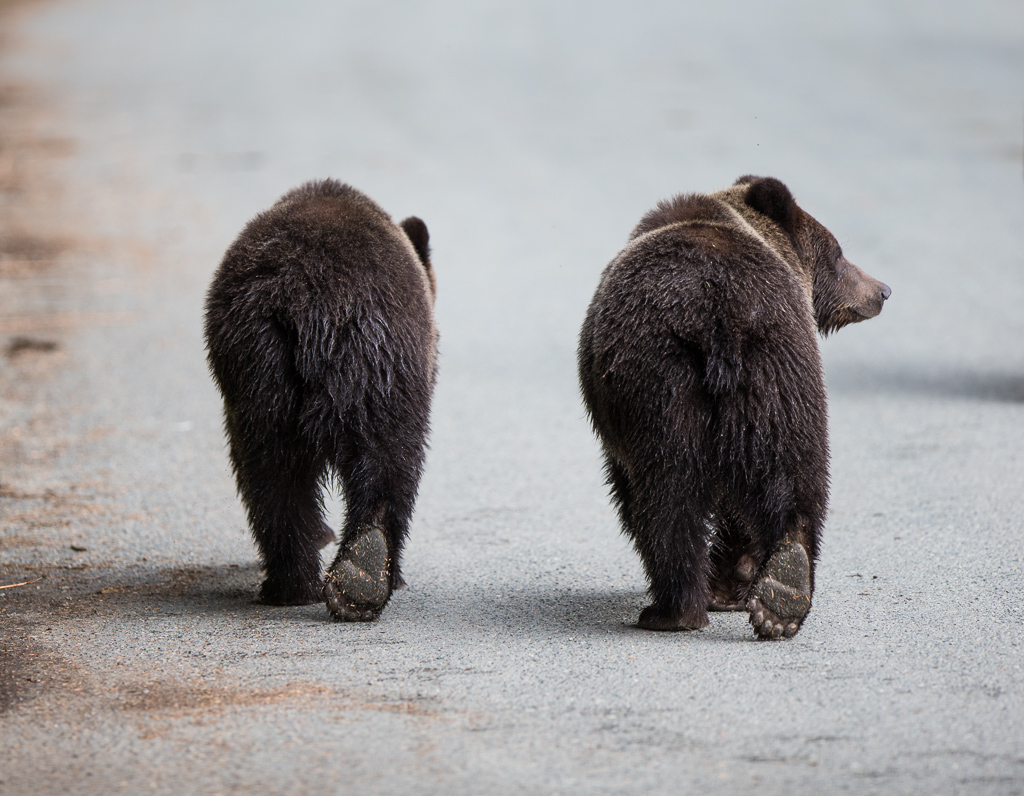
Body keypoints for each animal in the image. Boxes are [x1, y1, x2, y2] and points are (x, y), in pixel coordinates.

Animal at [204, 179, 437, 621]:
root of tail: (311, 297)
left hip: (265, 372)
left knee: (274, 476)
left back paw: (325, 580)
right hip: (378, 361)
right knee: (383, 462)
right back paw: (353, 576)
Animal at [577, 176, 890, 639]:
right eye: (838, 255)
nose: (882, 290)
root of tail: (718, 305)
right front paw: (738, 580)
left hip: (663, 383)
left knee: (666, 492)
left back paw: (675, 609)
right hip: (779, 368)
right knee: (793, 471)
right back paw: (782, 589)